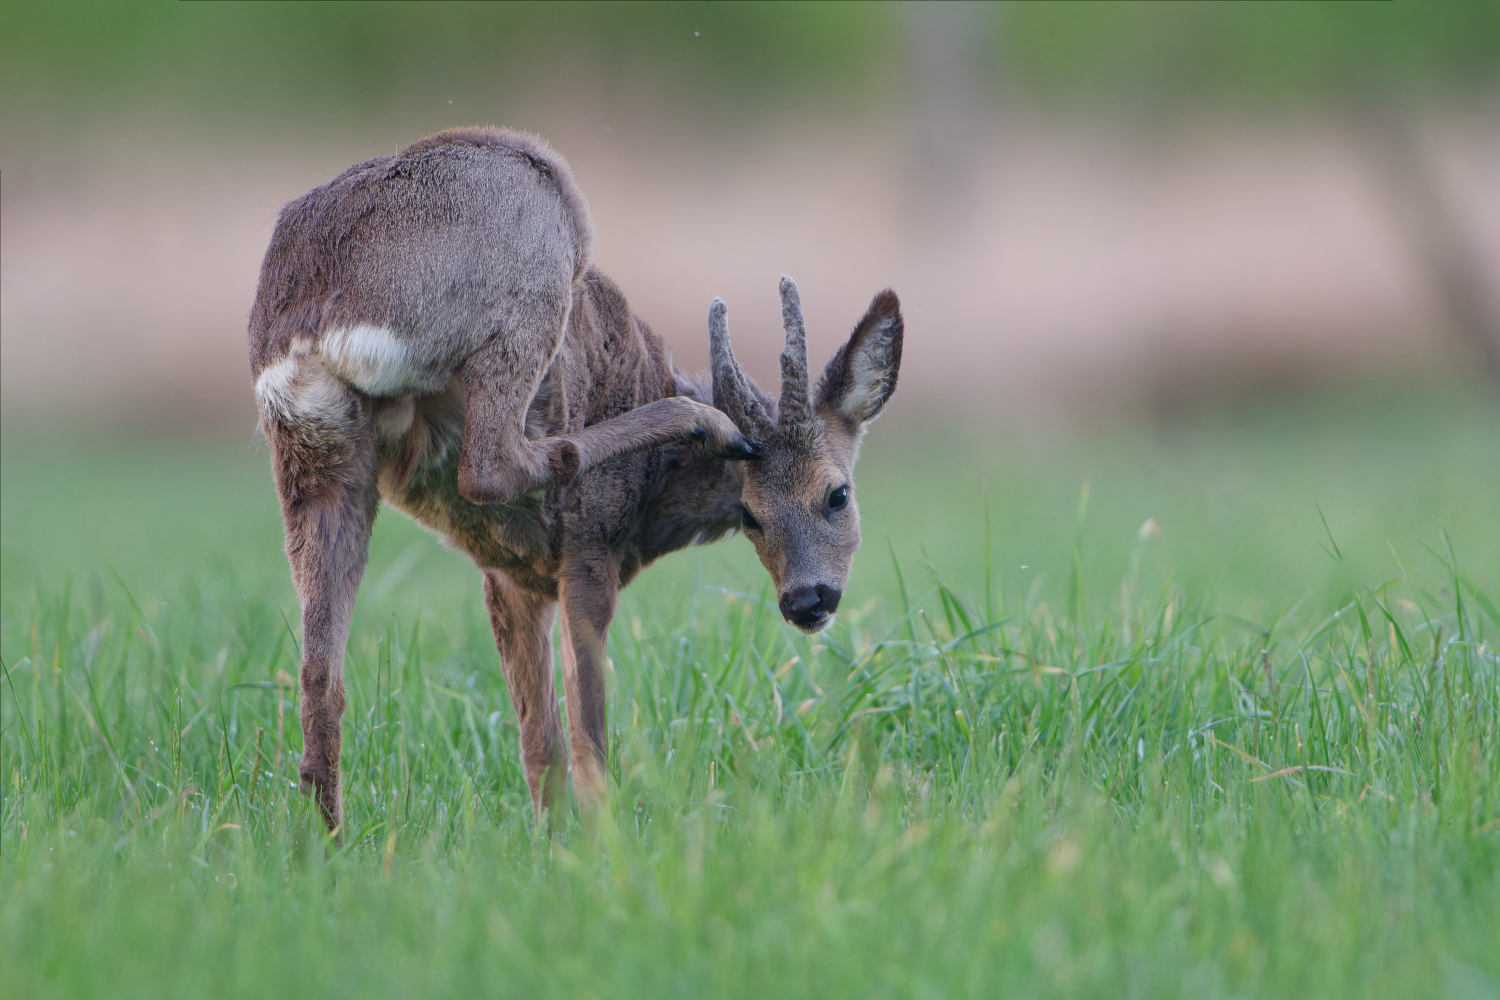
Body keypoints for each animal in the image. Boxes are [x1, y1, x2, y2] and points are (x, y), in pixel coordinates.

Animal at [249, 132, 900, 839]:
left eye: (836, 495)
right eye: (754, 514)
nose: (808, 601)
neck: (656, 496)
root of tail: (319, 316)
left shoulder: (507, 576)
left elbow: (540, 744)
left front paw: (552, 843)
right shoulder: (589, 548)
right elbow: (586, 733)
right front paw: (601, 841)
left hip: (315, 451)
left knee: (318, 680)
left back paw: (330, 846)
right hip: (542, 231)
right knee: (490, 461)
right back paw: (704, 422)